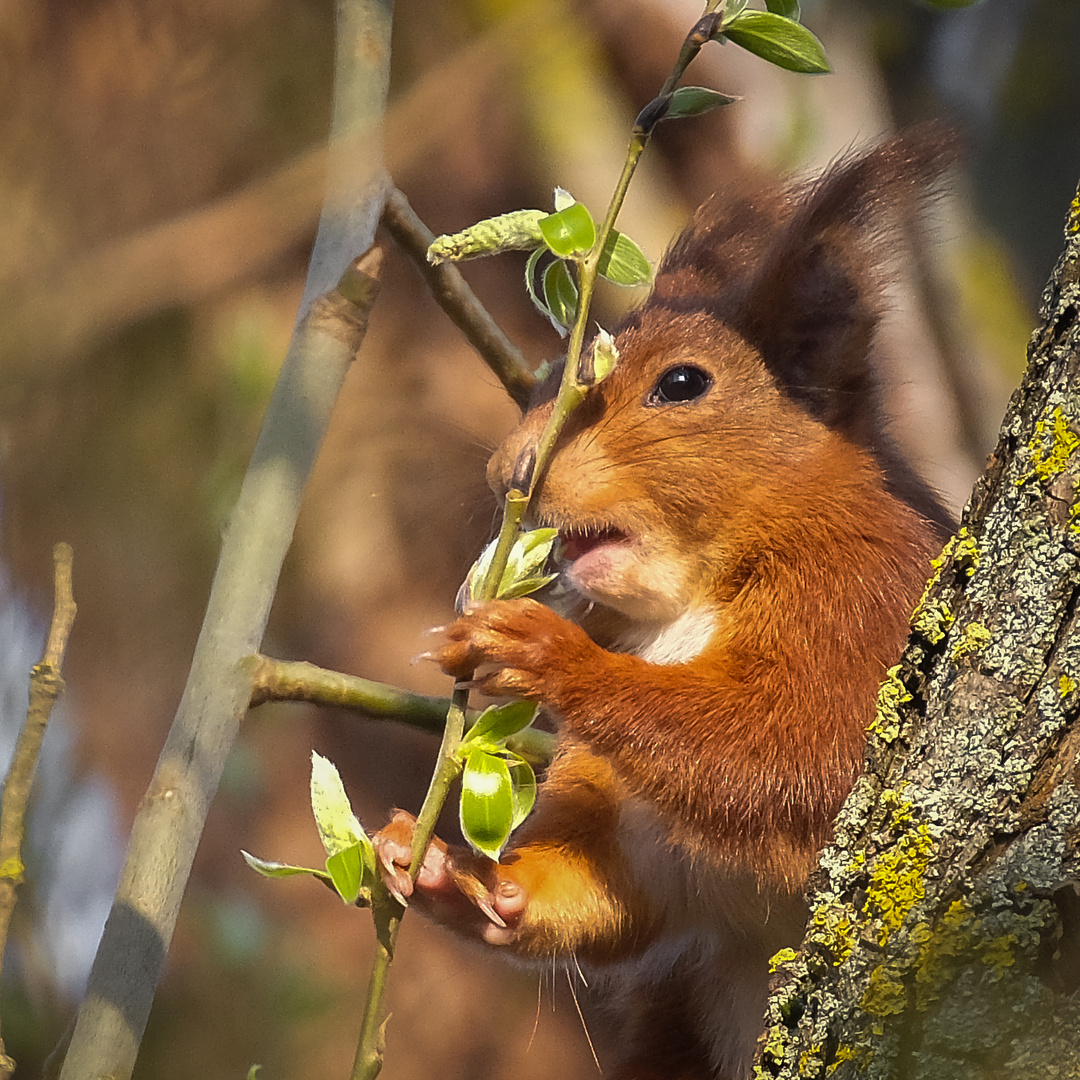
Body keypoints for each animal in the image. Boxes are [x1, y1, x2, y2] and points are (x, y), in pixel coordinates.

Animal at [371, 128, 954, 1080]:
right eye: (546, 376)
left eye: (683, 384)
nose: (509, 474)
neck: (685, 601)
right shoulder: (628, 818)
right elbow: (605, 889)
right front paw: (452, 875)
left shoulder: (862, 614)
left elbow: (783, 750)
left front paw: (538, 651)